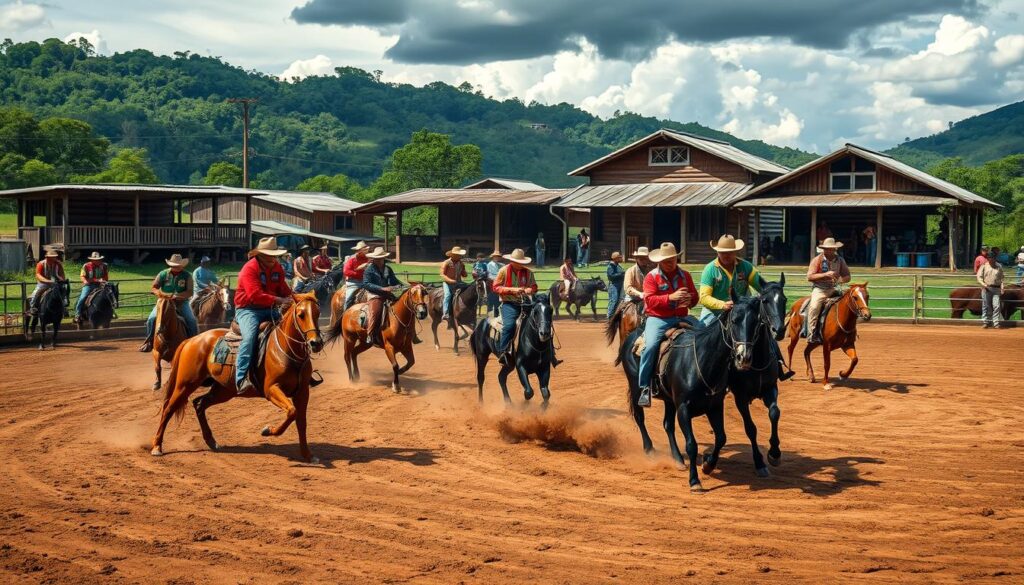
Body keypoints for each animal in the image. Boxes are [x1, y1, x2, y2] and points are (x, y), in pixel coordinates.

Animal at [148, 295, 321, 465]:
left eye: (317, 313)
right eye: (301, 315)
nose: (316, 343)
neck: (286, 350)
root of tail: (192, 340)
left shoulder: (302, 392)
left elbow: (301, 421)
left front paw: (308, 455)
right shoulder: (271, 389)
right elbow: (292, 412)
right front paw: (267, 431)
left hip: (223, 390)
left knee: (199, 403)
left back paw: (211, 441)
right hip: (185, 384)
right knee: (168, 409)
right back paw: (157, 446)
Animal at [614, 290, 761, 491]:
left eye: (755, 321)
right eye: (734, 320)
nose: (743, 357)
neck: (702, 360)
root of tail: (632, 335)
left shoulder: (715, 406)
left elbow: (721, 437)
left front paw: (708, 465)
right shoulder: (683, 408)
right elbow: (691, 444)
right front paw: (694, 481)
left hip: (669, 400)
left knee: (667, 425)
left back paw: (677, 458)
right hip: (636, 387)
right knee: (639, 417)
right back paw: (649, 449)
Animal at [724, 276, 786, 477]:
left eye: (784, 300)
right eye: (764, 301)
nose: (778, 330)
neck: (756, 361)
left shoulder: (770, 388)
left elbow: (774, 413)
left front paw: (774, 453)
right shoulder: (740, 398)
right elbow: (750, 428)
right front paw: (759, 462)